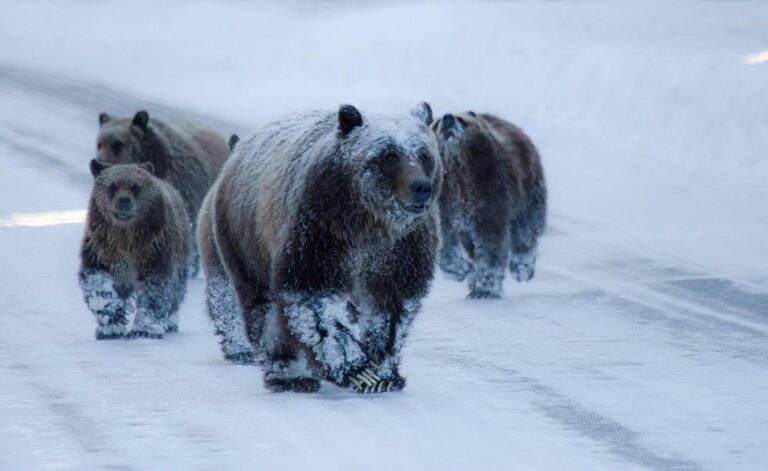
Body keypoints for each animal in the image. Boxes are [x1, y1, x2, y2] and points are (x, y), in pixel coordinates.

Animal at [201, 104, 440, 394]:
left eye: (424, 154)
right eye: (389, 155)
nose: (421, 187)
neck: (370, 225)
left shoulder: (401, 250)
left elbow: (391, 308)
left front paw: (383, 373)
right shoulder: (320, 232)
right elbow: (313, 297)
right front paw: (355, 368)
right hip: (246, 239)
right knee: (263, 308)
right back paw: (289, 374)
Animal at [432, 111, 544, 298]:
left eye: (462, 119)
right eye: (436, 123)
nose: (448, 118)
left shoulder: (489, 193)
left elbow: (491, 243)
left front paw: (485, 288)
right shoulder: (445, 203)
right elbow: (444, 241)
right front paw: (459, 270)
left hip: (528, 187)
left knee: (526, 229)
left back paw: (522, 266)